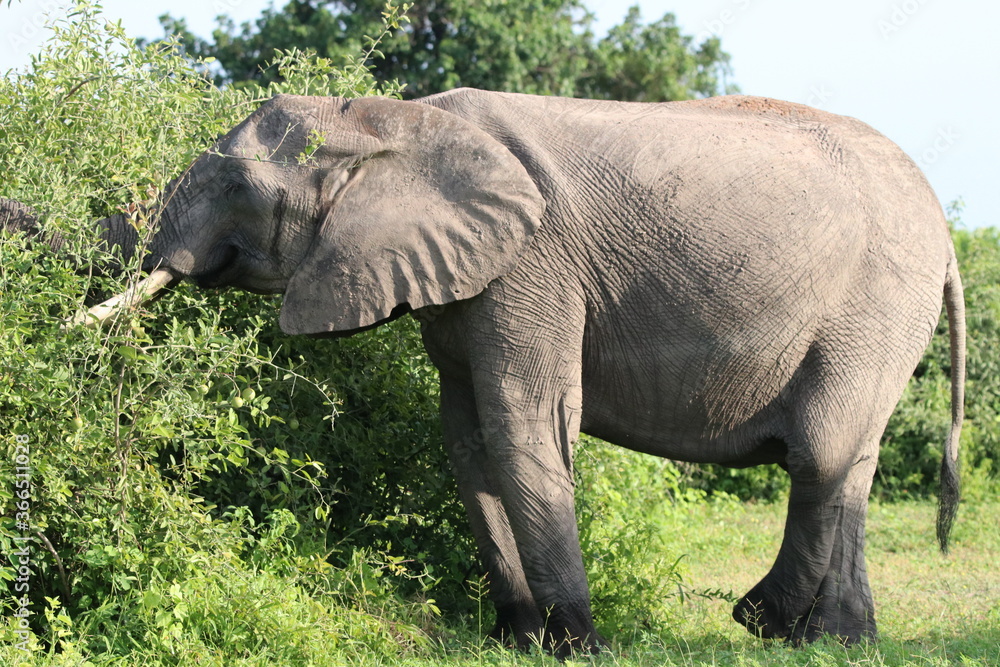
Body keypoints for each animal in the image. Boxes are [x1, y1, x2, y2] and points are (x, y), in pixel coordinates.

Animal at [91, 89, 965, 654]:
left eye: (238, 186)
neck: (397, 117)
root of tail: (951, 236)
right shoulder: (462, 277)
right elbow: (467, 439)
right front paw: (517, 638)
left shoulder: (532, 263)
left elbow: (525, 423)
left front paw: (580, 645)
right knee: (854, 462)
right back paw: (840, 640)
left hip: (877, 302)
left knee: (822, 453)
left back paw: (764, 624)